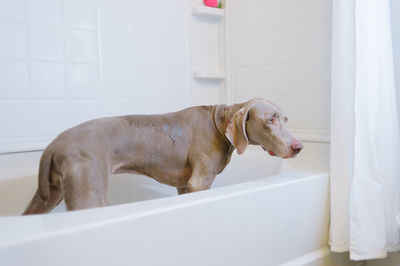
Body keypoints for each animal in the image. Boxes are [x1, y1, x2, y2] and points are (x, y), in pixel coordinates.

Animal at [22, 98, 304, 215]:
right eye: (270, 120)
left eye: (286, 119)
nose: (299, 147)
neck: (218, 124)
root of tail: (54, 145)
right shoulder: (200, 183)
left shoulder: (184, 185)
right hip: (87, 195)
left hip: (49, 194)